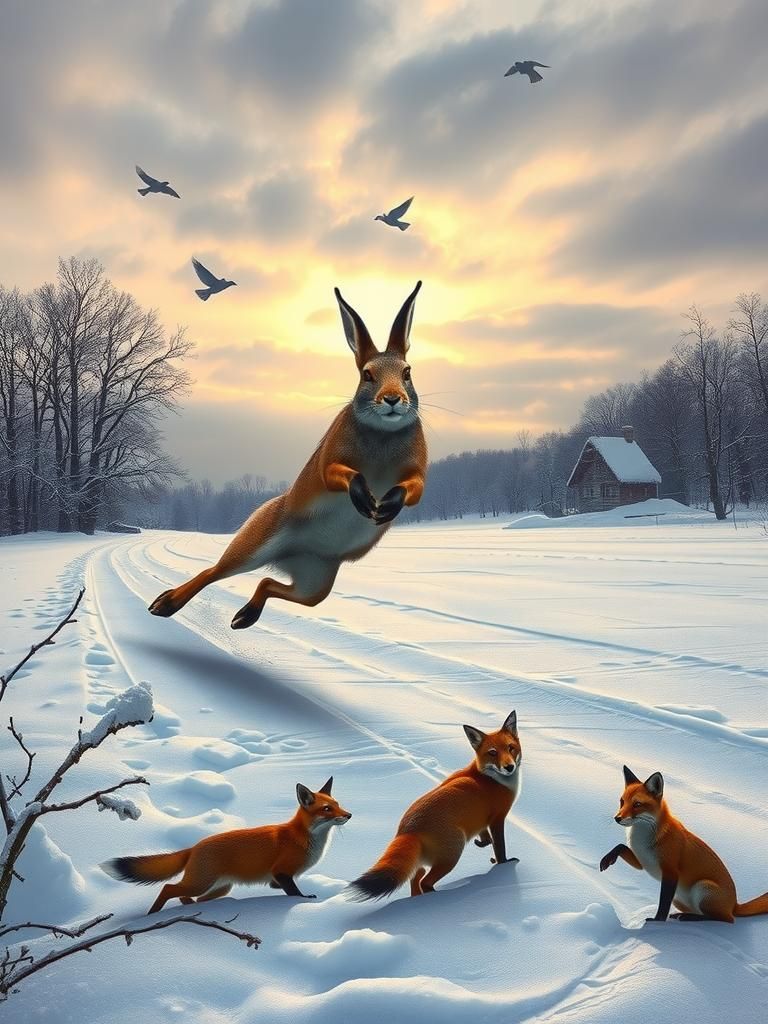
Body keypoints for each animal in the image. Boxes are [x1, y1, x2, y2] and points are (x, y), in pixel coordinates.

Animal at [148, 281, 427, 628]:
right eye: (367, 375)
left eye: (407, 372)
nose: (392, 399)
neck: (383, 434)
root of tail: (287, 557)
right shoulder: (327, 463)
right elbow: (335, 473)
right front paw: (365, 498)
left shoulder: (417, 472)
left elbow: (415, 488)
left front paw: (386, 505)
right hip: (254, 546)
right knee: (214, 571)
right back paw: (165, 604)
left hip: (316, 582)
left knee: (268, 582)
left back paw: (244, 617)